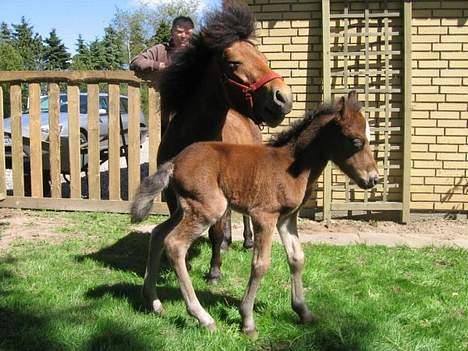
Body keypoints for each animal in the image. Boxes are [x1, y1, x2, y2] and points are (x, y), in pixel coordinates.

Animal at [132, 92, 380, 336]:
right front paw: (247, 321)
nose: (373, 179)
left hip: (186, 208)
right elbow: (261, 265)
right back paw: (203, 317)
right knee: (175, 244)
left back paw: (154, 302)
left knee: (158, 233)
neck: (292, 164)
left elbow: (297, 258)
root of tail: (174, 162)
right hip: (208, 208)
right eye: (356, 141)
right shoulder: (264, 216)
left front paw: (303, 311)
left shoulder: (287, 218)